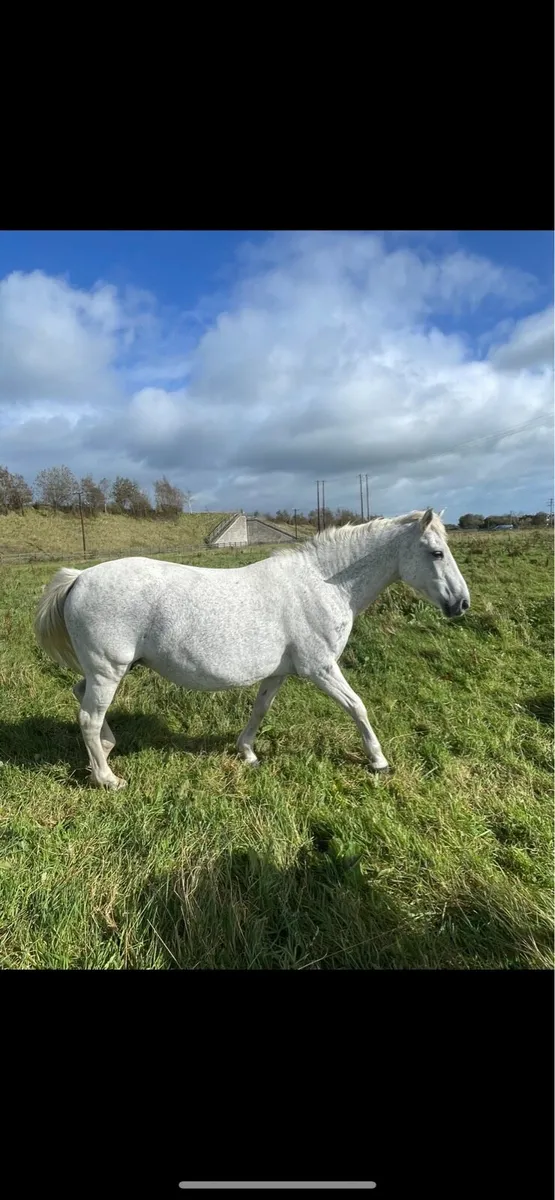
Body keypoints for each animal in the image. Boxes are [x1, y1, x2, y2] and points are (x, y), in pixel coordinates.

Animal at [34, 507, 470, 789]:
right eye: (436, 552)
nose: (461, 604)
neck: (322, 584)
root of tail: (79, 577)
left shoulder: (278, 673)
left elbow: (260, 710)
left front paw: (247, 752)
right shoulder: (320, 668)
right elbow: (356, 706)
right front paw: (378, 761)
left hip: (107, 670)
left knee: (81, 697)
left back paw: (106, 751)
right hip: (109, 670)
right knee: (88, 717)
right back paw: (107, 778)